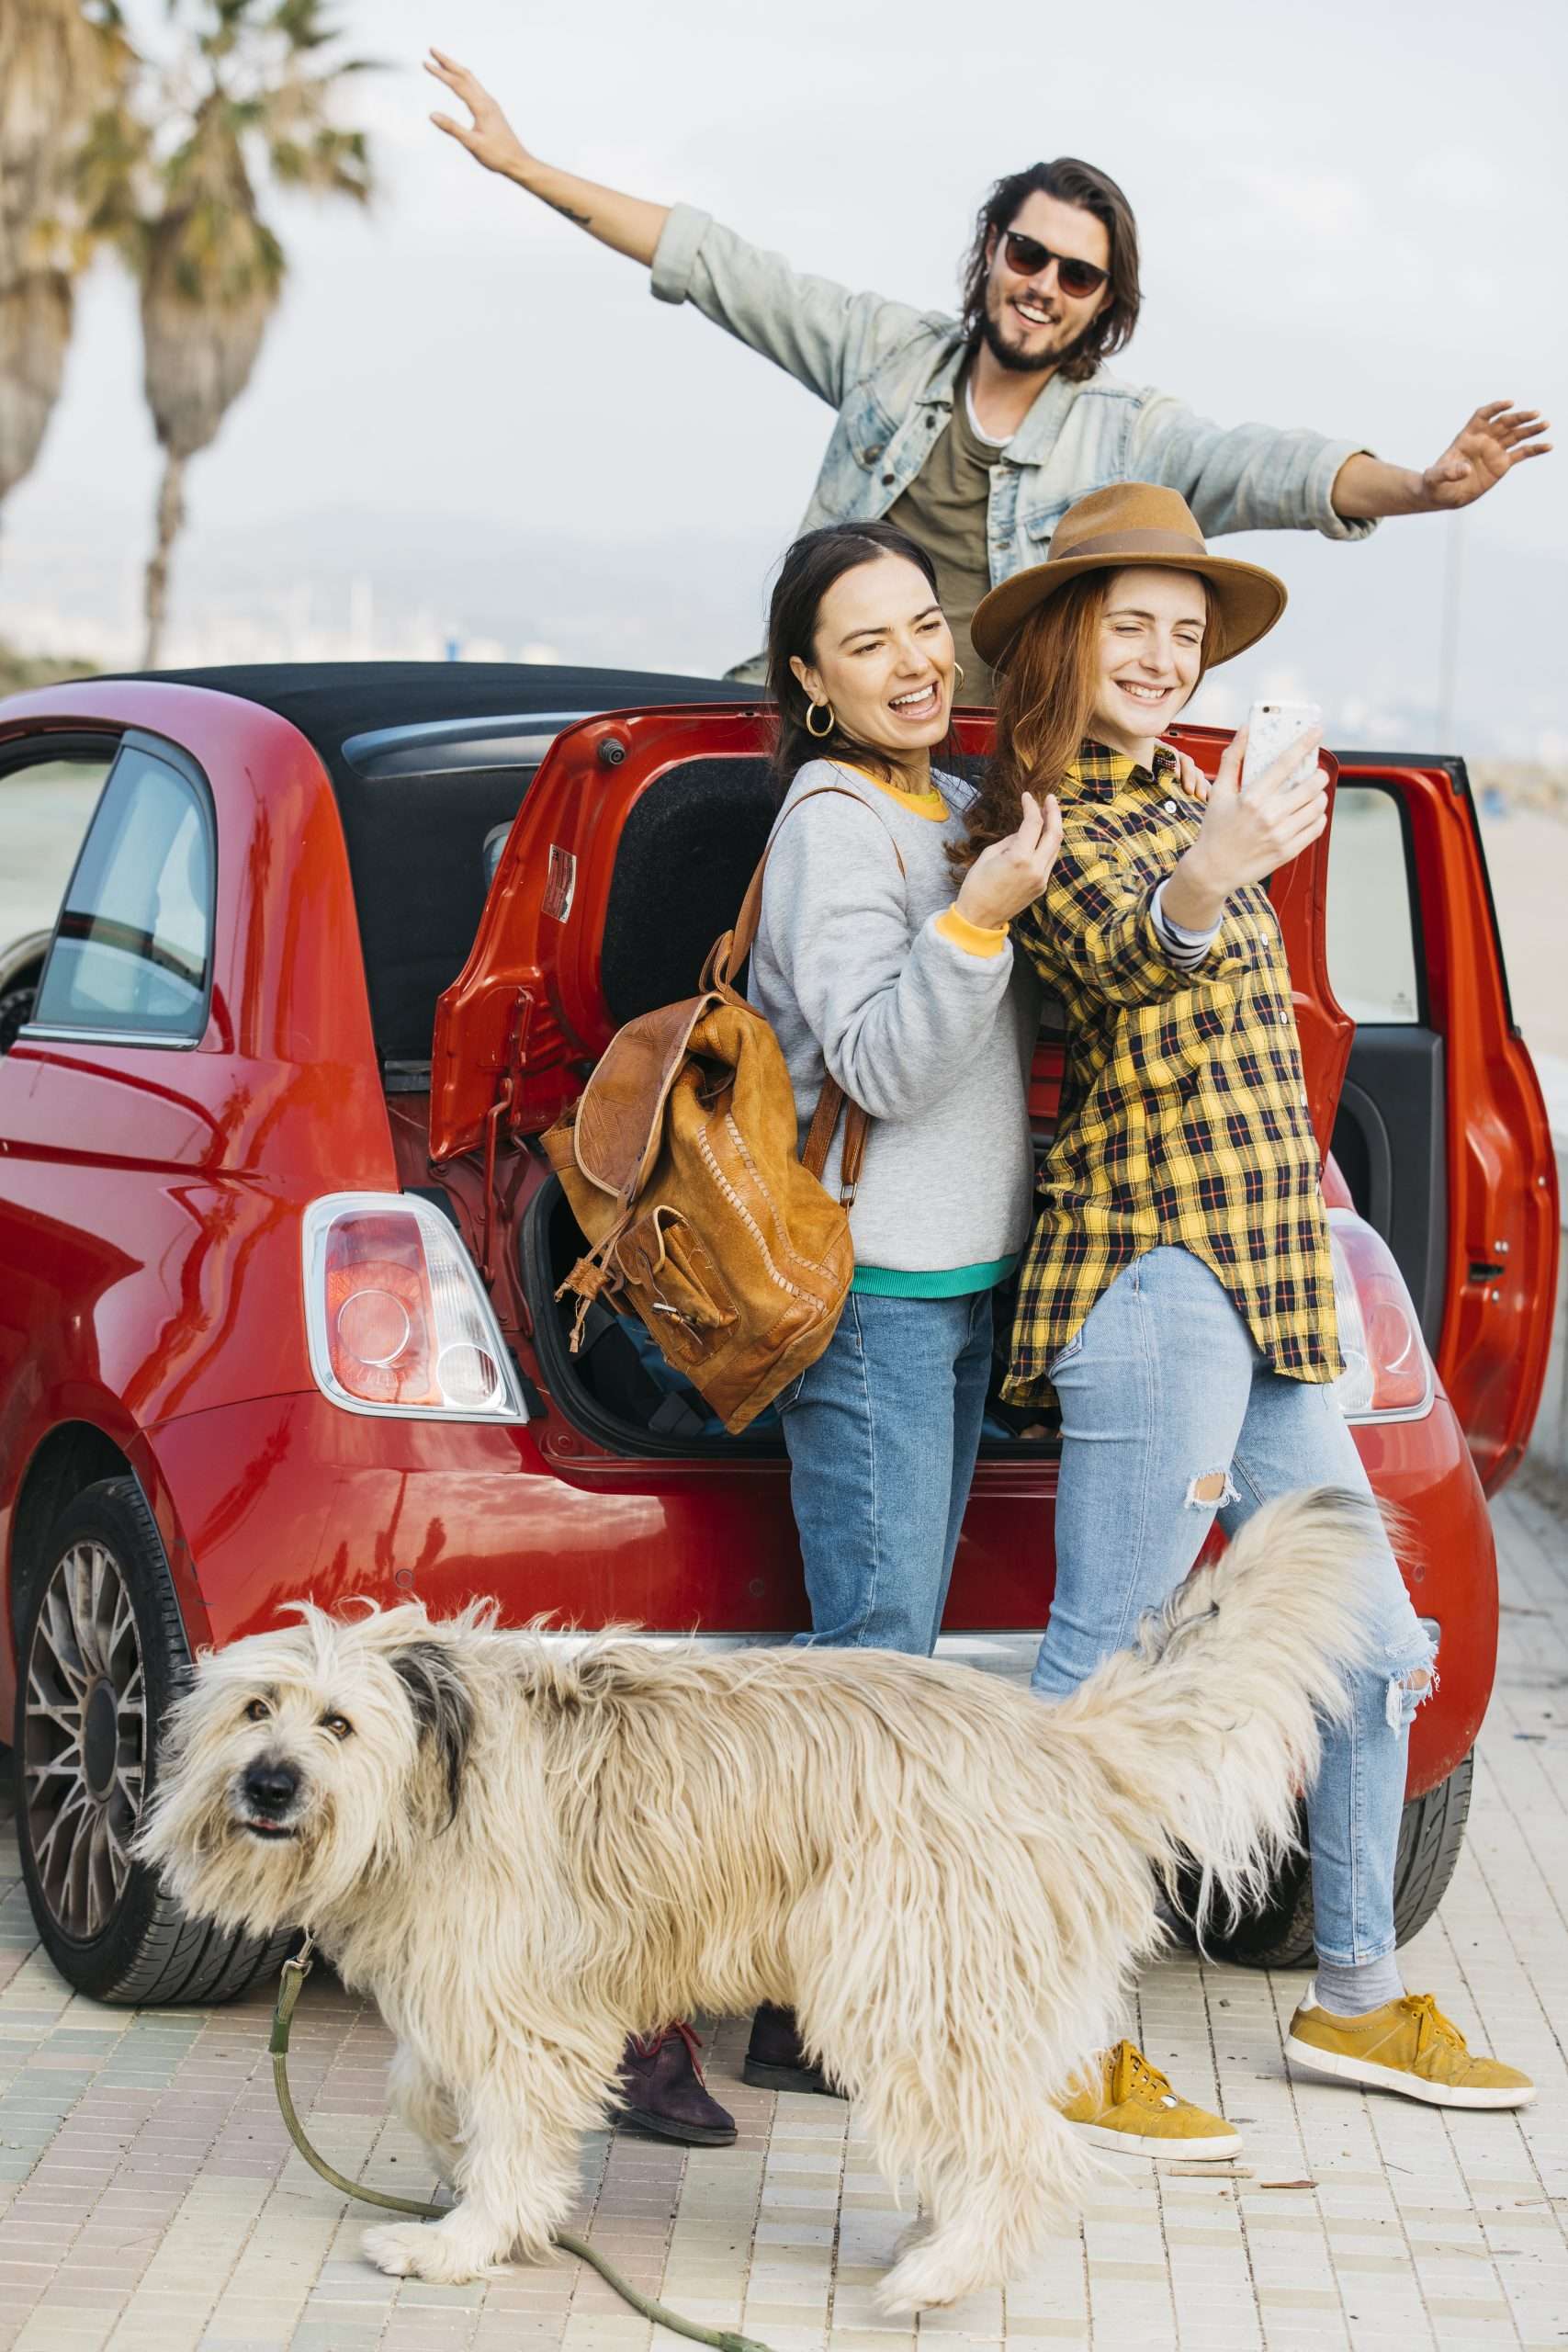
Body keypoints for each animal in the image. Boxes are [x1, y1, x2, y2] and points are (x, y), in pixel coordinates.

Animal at [141, 1496, 1382, 2304]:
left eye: (338, 1724)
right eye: (255, 1708)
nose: (268, 1784)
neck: (427, 1782)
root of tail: (1052, 1734)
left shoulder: (520, 2002)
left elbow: (504, 2118)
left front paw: (464, 2239)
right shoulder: (476, 1986)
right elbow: (422, 2091)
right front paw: (463, 2178)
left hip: (908, 1978)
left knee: (1021, 2146)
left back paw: (944, 2269)